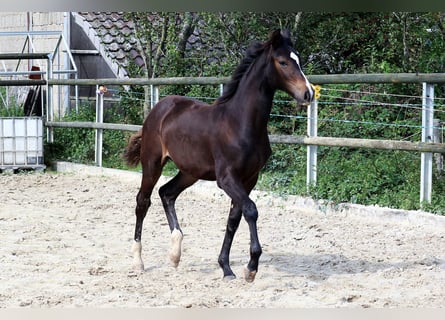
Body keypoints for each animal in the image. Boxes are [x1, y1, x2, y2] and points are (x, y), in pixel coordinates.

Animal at [123, 28, 314, 282]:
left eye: (298, 59)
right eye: (282, 62)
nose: (308, 93)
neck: (240, 123)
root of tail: (159, 108)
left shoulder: (249, 179)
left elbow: (234, 219)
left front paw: (226, 268)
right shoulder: (227, 178)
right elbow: (251, 210)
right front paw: (251, 268)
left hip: (190, 172)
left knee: (167, 193)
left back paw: (174, 255)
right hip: (152, 163)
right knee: (143, 201)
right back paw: (138, 262)